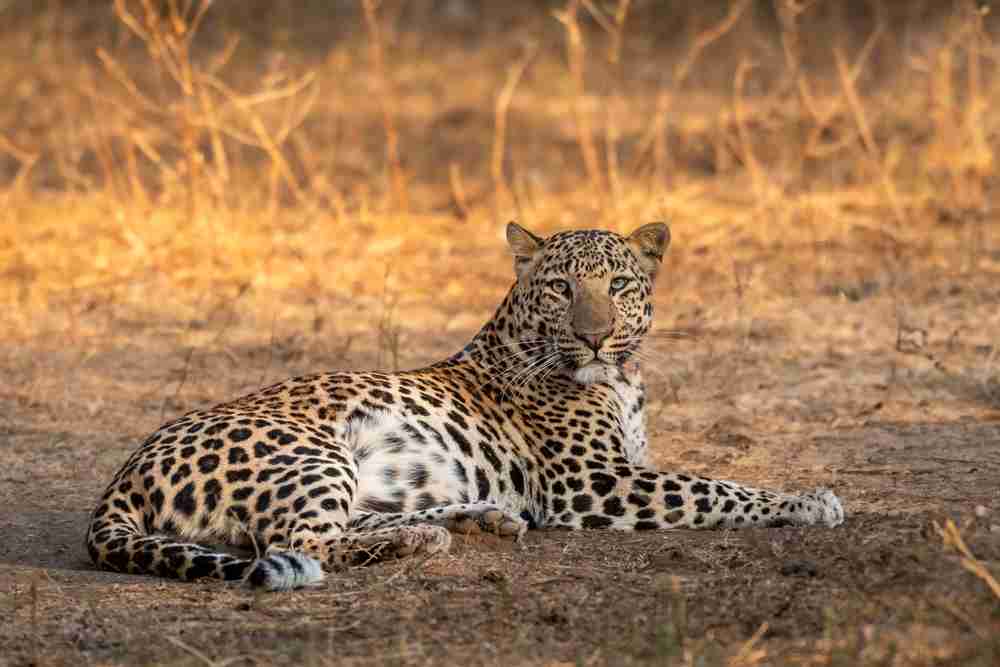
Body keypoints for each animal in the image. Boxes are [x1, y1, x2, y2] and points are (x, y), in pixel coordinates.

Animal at [86, 222, 844, 591]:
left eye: (620, 285)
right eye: (562, 287)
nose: (594, 336)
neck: (620, 378)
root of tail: (123, 475)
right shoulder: (591, 482)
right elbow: (716, 486)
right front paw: (809, 500)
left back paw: (470, 522)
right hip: (313, 452)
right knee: (297, 544)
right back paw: (427, 537)